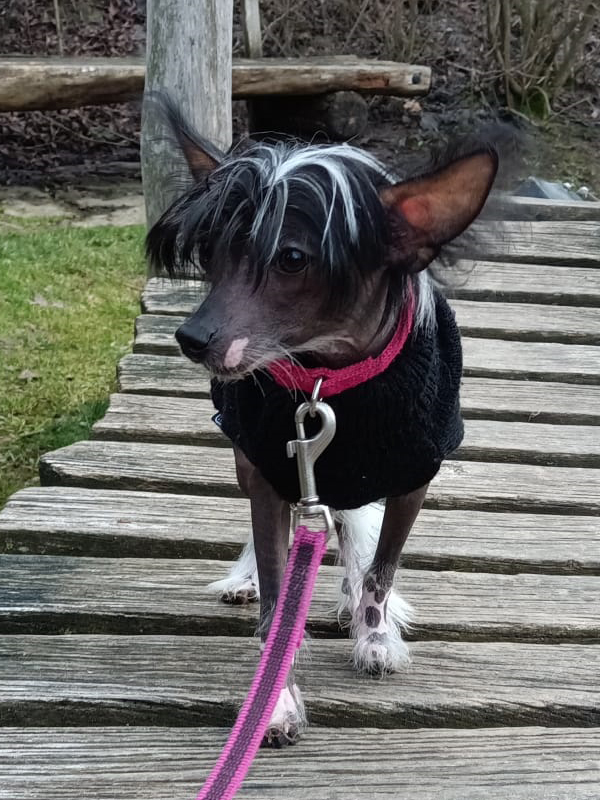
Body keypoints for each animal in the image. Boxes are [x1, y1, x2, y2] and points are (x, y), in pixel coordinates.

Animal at [146, 96, 499, 747]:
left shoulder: (414, 482)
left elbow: (381, 570)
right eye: (212, 253)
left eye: (291, 259)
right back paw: (247, 576)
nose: (191, 338)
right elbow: (276, 594)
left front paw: (374, 632)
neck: (328, 382)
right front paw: (276, 699)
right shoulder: (266, 472)